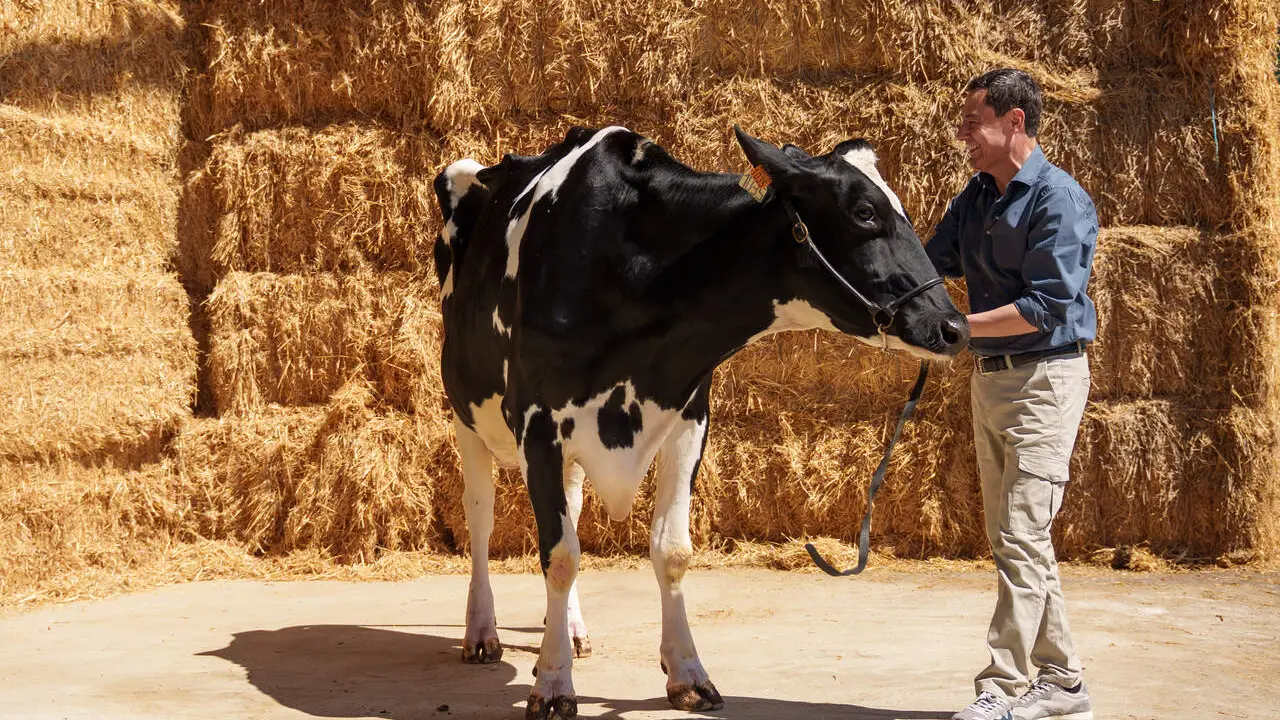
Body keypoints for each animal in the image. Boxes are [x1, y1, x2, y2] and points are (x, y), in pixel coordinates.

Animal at [432, 125, 969, 719]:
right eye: (865, 212)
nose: (953, 327)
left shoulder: (689, 417)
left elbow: (671, 551)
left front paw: (687, 673)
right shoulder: (538, 424)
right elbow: (559, 554)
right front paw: (552, 686)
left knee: (568, 510)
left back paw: (568, 629)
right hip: (466, 415)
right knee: (480, 518)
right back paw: (481, 632)